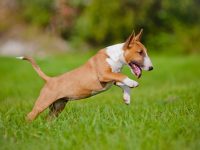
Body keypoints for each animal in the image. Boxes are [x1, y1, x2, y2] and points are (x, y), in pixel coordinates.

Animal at [16, 28, 153, 121]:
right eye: (140, 52)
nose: (151, 68)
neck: (115, 56)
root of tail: (49, 79)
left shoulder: (112, 79)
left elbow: (122, 82)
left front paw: (127, 98)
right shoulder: (104, 74)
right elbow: (122, 77)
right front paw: (133, 83)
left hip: (58, 106)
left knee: (48, 119)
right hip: (43, 103)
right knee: (30, 116)